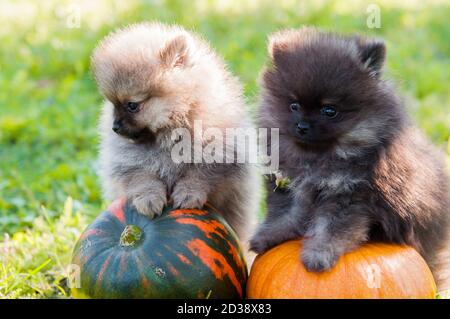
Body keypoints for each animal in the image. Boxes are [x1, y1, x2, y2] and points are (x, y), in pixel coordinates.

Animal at [91, 22, 258, 241]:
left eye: (132, 105)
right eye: (113, 104)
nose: (115, 128)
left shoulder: (221, 150)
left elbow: (201, 173)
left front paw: (189, 193)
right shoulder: (128, 159)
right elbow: (141, 176)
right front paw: (149, 198)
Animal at [250, 27, 450, 292]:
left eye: (330, 110)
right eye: (293, 105)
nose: (302, 126)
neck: (317, 157)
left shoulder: (349, 194)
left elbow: (331, 227)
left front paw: (319, 255)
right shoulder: (287, 184)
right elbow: (286, 214)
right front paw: (268, 236)